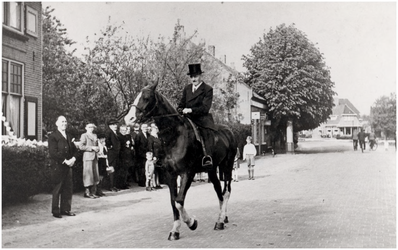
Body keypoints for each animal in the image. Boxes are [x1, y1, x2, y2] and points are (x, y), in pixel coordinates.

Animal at [123, 81, 236, 240]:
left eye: (146, 97)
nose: (129, 119)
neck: (175, 136)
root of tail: (229, 131)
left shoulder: (187, 173)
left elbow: (179, 201)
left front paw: (192, 223)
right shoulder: (170, 175)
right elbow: (173, 201)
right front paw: (175, 230)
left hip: (227, 165)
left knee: (226, 192)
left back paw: (220, 221)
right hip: (212, 170)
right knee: (219, 192)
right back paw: (222, 218)